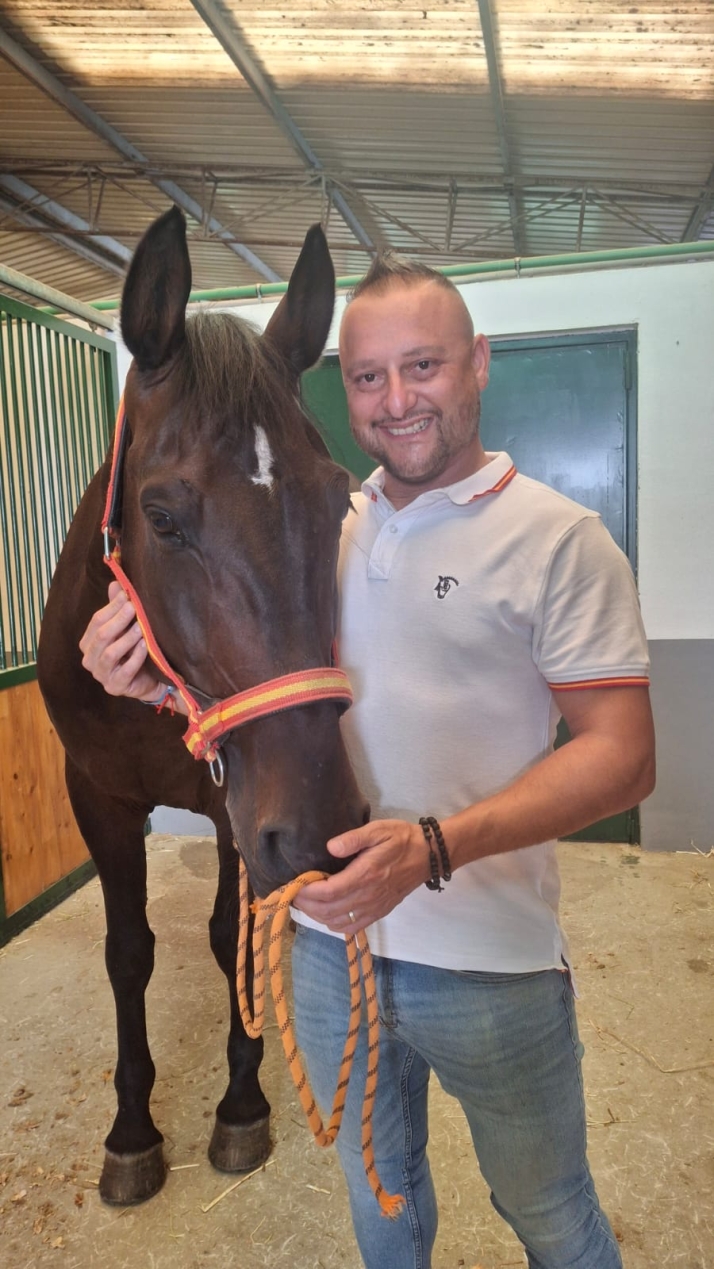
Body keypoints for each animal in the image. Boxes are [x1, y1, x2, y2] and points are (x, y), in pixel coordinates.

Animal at [36, 206, 368, 1207]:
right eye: (162, 516)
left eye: (340, 500)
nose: (321, 831)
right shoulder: (98, 798)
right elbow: (128, 950)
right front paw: (132, 1130)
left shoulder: (238, 807)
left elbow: (231, 936)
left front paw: (242, 1104)